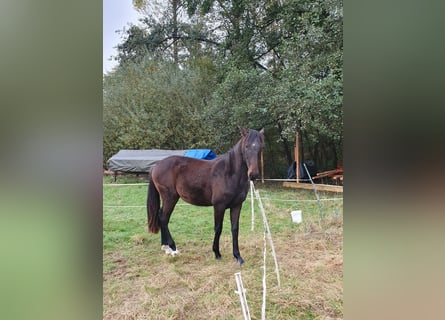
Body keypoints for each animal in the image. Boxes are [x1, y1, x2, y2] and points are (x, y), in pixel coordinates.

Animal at [146, 127, 264, 264]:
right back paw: (173, 247)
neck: (229, 173)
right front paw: (217, 253)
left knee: (161, 216)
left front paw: (238, 256)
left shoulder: (237, 205)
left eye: (260, 147)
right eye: (246, 146)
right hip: (170, 197)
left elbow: (235, 229)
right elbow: (218, 228)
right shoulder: (219, 206)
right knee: (164, 218)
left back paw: (166, 248)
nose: (253, 174)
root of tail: (156, 166)